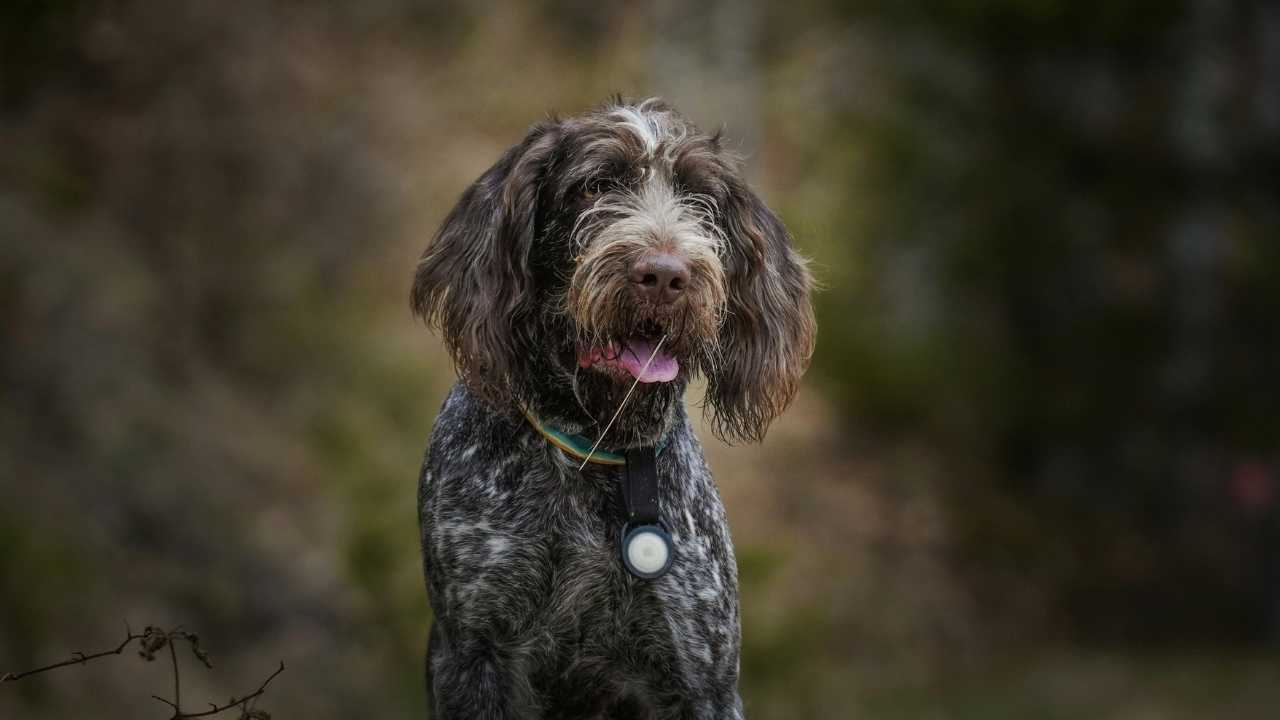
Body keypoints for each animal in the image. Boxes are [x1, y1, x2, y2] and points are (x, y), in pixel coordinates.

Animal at [412, 96, 808, 717]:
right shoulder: (471, 653)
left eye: (701, 200)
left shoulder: (702, 676)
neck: (592, 444)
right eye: (596, 186)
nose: (666, 275)